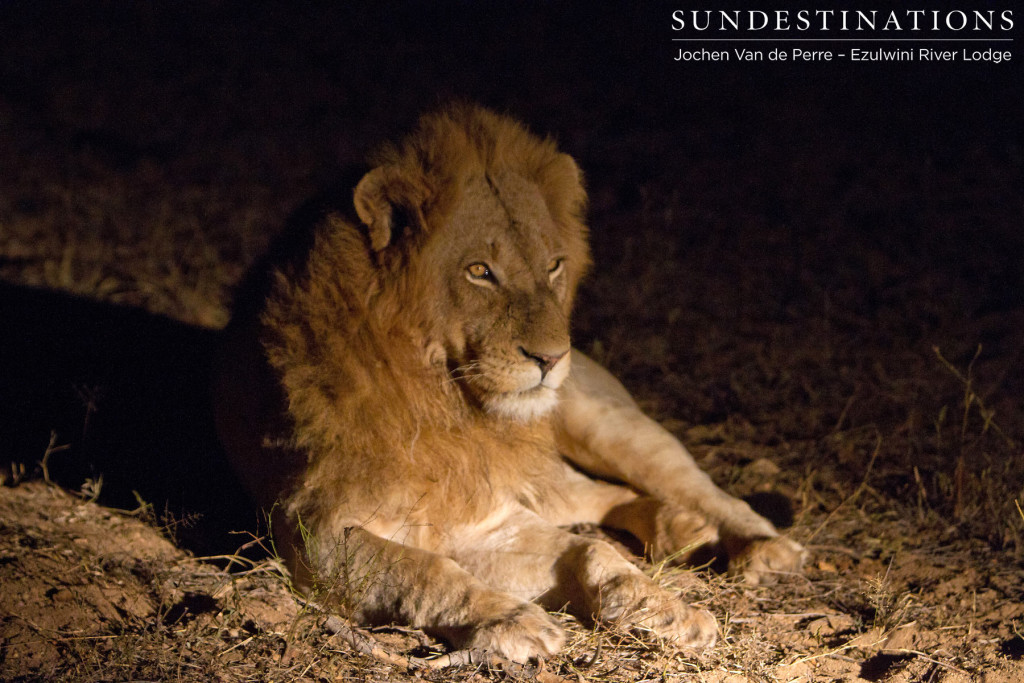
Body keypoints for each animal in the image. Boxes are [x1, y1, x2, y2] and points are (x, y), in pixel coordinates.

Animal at [214, 104, 806, 663]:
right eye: (480, 271)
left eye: (554, 266)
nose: (551, 357)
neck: (443, 401)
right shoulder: (315, 534)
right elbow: (427, 570)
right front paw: (513, 621)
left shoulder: (488, 514)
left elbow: (587, 551)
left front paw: (666, 609)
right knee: (598, 496)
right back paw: (682, 529)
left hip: (605, 423)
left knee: (685, 483)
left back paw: (756, 545)